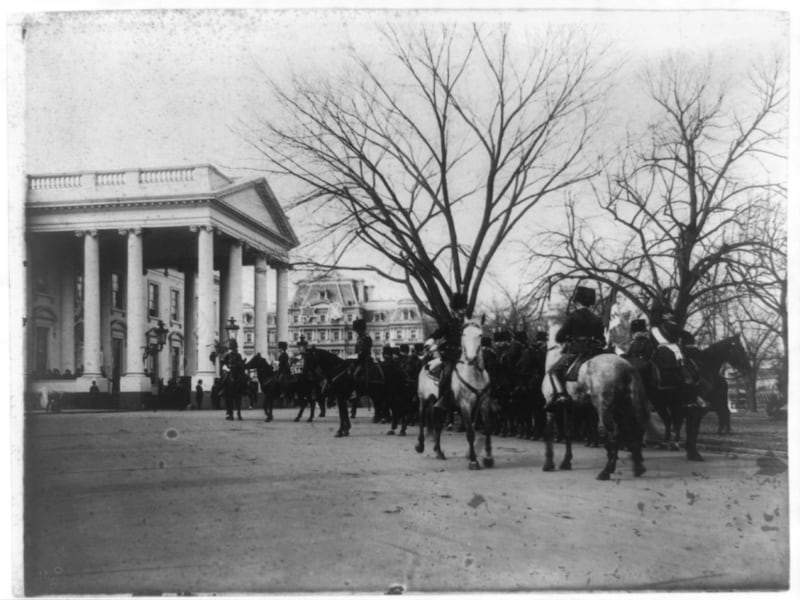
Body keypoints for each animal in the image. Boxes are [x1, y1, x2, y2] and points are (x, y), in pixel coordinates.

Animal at [418, 322, 494, 472]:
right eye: (463, 334)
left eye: (480, 335)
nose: (471, 358)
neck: (474, 375)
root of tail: (428, 363)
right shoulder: (465, 405)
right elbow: (470, 432)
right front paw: (473, 461)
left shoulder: (484, 403)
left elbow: (487, 428)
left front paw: (488, 458)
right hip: (423, 400)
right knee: (422, 420)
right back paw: (420, 446)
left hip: (439, 405)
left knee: (437, 426)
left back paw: (439, 451)